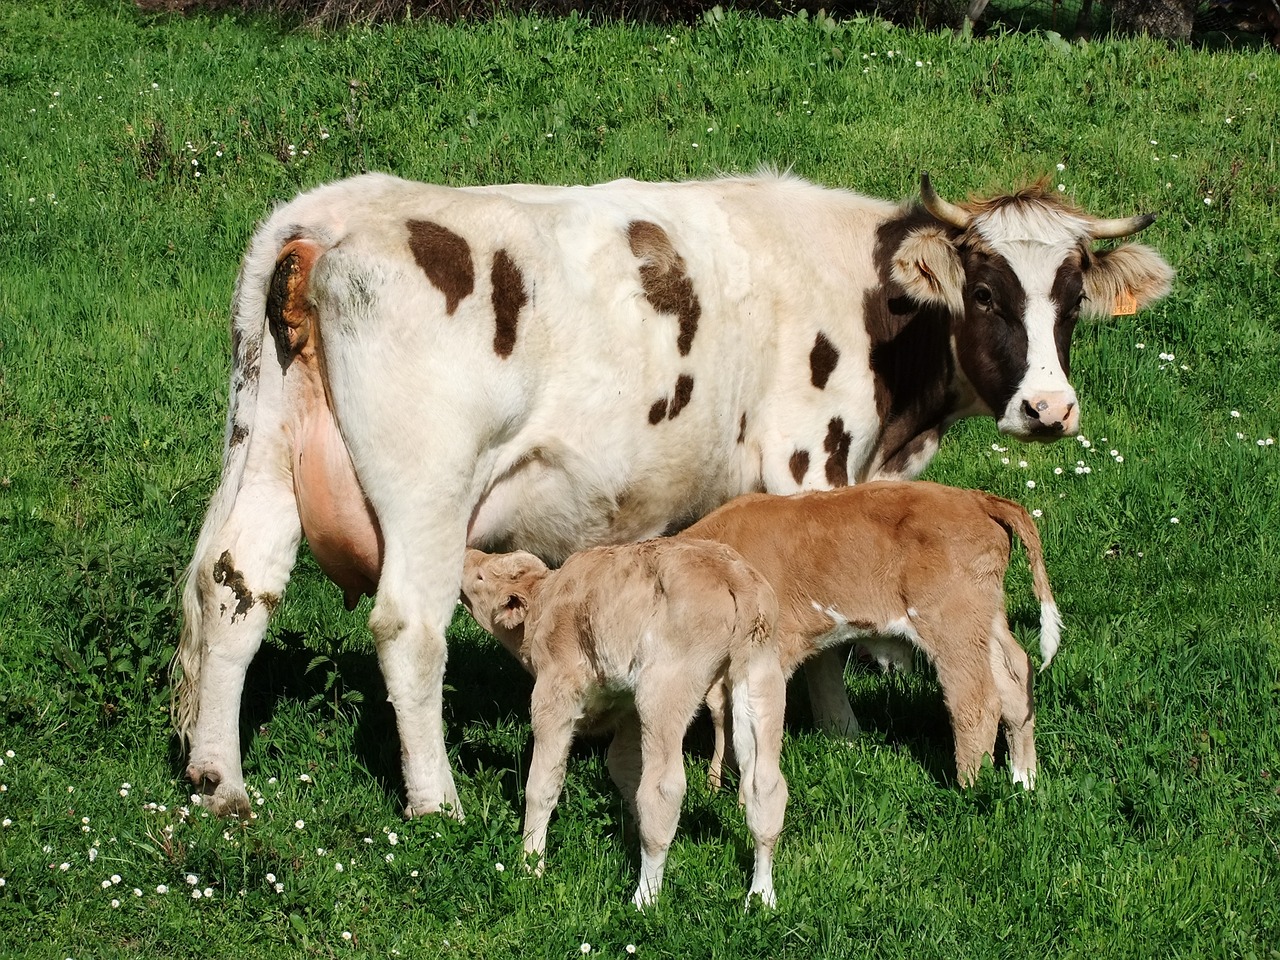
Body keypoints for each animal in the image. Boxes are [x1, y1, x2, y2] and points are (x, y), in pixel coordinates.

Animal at [455, 542, 783, 911]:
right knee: (765, 785)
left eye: (482, 577)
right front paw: (629, 831)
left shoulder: (554, 695)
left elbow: (541, 785)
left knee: (664, 789)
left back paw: (645, 897)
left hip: (665, 686)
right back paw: (761, 895)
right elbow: (623, 767)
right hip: (760, 673)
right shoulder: (627, 708)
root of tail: (731, 573)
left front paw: (530, 866)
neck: (544, 604)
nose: (466, 554)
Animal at [680, 483, 1059, 793]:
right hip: (985, 617)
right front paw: (717, 784)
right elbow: (723, 711)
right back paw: (1023, 779)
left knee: (976, 700)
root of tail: (977, 499)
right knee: (1016, 677)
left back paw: (970, 789)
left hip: (952, 620)